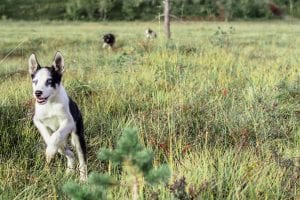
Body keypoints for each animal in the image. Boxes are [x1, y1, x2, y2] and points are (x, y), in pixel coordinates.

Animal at [28, 51, 87, 181]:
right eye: (35, 81)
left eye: (49, 81)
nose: (37, 93)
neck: (50, 104)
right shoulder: (38, 121)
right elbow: (49, 136)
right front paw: (51, 150)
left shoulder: (68, 122)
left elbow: (56, 135)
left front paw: (50, 151)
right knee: (70, 153)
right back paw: (69, 170)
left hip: (77, 135)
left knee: (82, 160)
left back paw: (83, 179)